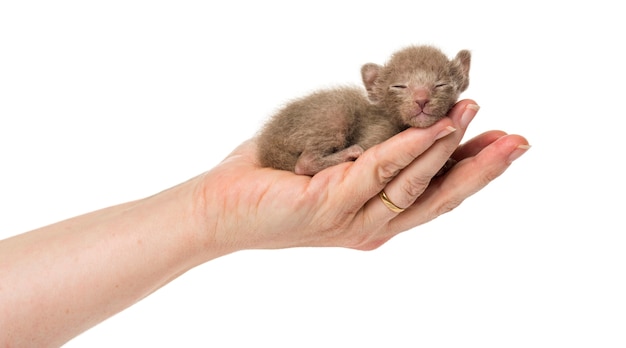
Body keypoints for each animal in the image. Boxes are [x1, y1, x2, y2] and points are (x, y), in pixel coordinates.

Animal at [255, 45, 468, 177]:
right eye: (399, 86)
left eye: (441, 84)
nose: (421, 99)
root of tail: (267, 144)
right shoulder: (377, 131)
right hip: (335, 112)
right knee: (303, 163)